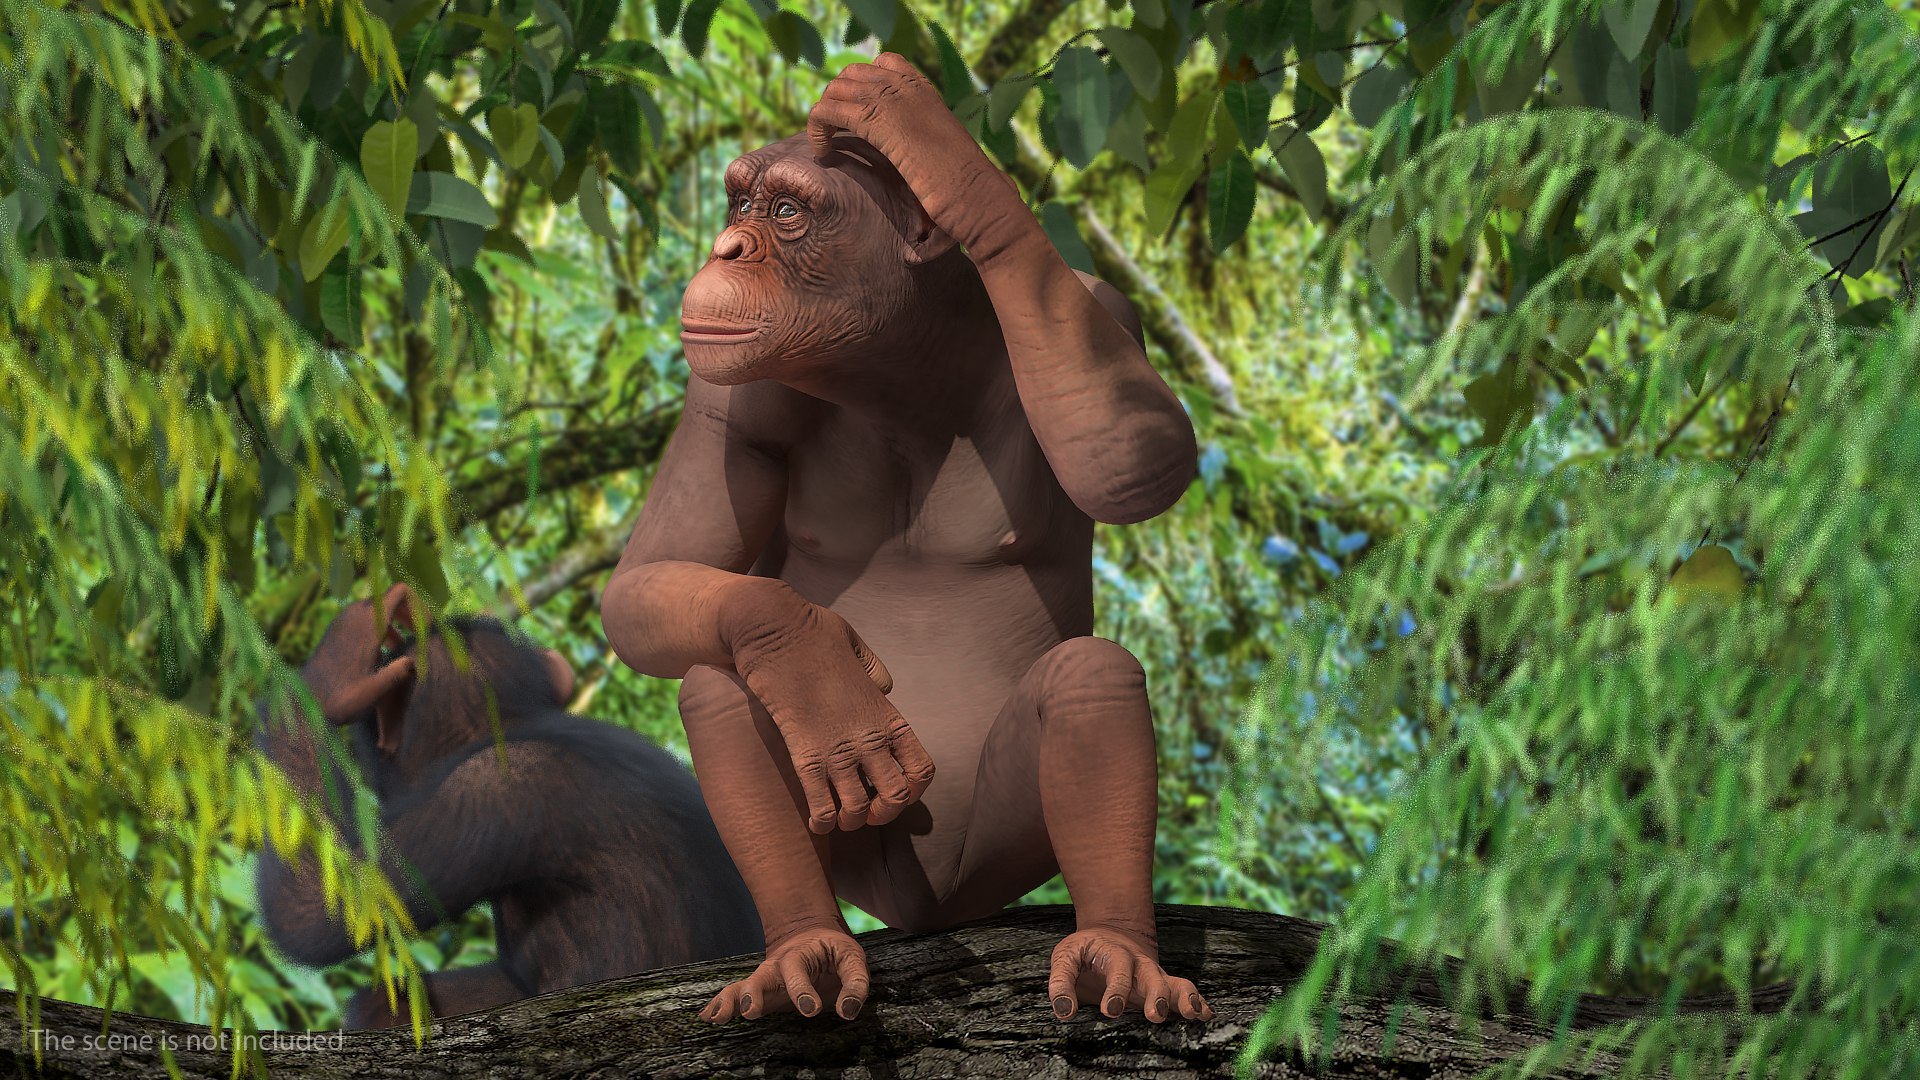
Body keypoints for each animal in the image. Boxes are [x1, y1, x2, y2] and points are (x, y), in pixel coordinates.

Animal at [599, 54, 1213, 1025]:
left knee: (1091, 676)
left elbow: (1134, 456)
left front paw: (931, 144)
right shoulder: (731, 393)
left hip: (992, 859)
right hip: (868, 840)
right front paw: (806, 656)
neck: (899, 368)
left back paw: (1117, 948)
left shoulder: (1103, 310)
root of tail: (928, 908)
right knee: (721, 683)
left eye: (786, 212)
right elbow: (649, 581)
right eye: (739, 204)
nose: (727, 250)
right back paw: (804, 945)